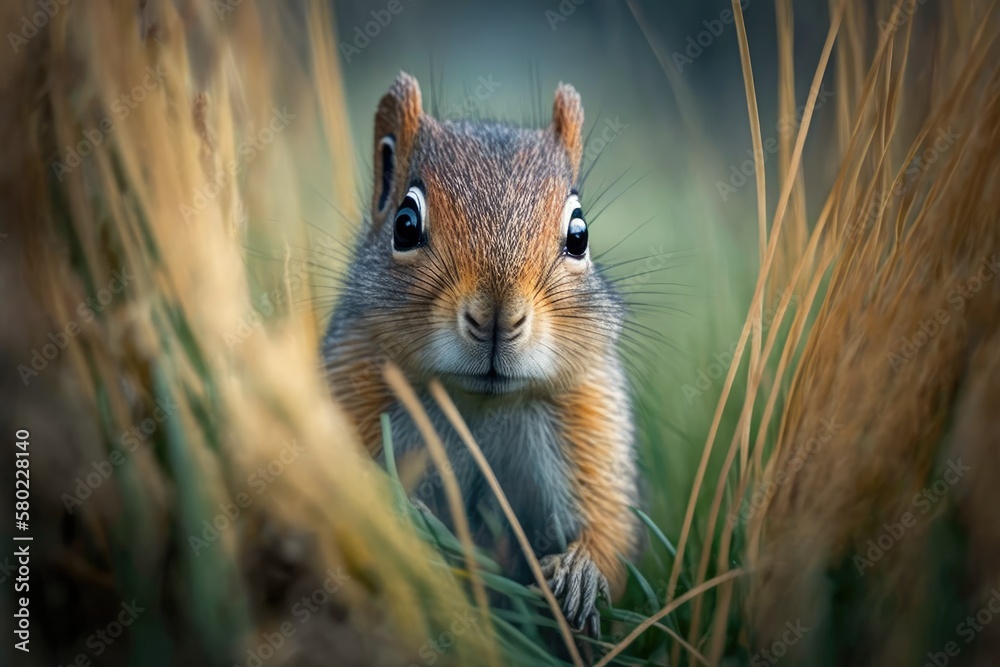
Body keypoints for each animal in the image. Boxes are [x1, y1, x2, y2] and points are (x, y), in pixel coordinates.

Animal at [324, 72, 644, 636]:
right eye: (405, 224)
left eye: (579, 234)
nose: (497, 316)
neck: (479, 403)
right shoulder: (353, 383)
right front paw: (410, 521)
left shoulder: (590, 417)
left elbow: (609, 523)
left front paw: (581, 571)